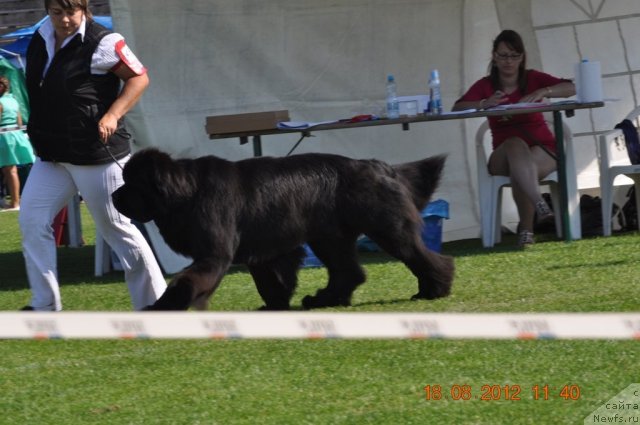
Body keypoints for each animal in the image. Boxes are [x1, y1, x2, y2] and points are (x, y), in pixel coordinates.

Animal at [114, 147, 456, 310]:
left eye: (132, 184)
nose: (114, 195)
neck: (188, 192)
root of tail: (378, 165)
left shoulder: (215, 254)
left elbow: (187, 281)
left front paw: (163, 307)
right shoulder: (263, 252)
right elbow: (271, 281)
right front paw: (274, 306)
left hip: (386, 227)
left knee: (420, 256)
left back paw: (433, 289)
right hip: (329, 238)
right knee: (349, 271)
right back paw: (323, 300)